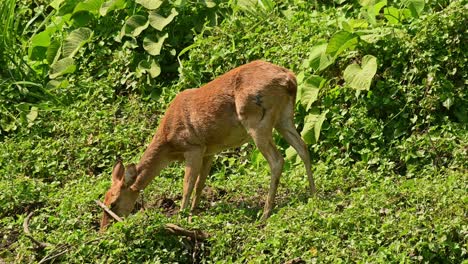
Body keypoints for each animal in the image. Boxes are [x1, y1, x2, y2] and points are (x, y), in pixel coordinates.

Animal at [100, 60, 316, 230]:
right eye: (105, 198)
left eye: (114, 203)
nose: (104, 229)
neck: (168, 144)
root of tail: (289, 79)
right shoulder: (209, 151)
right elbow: (200, 184)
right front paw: (193, 212)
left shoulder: (193, 147)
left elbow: (187, 185)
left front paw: (181, 217)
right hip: (284, 117)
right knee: (303, 147)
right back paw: (313, 194)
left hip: (257, 121)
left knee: (277, 160)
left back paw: (265, 213)